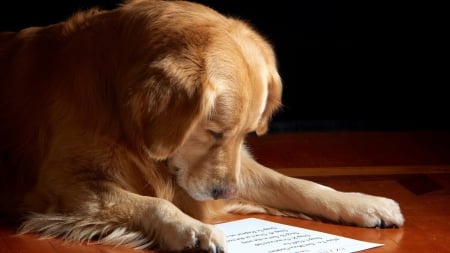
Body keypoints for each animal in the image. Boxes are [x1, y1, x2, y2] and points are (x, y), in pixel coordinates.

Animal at [0, 0, 402, 252]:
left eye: (245, 134)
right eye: (212, 132)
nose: (225, 192)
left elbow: (299, 185)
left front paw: (363, 202)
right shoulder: (61, 185)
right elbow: (153, 203)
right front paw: (190, 228)